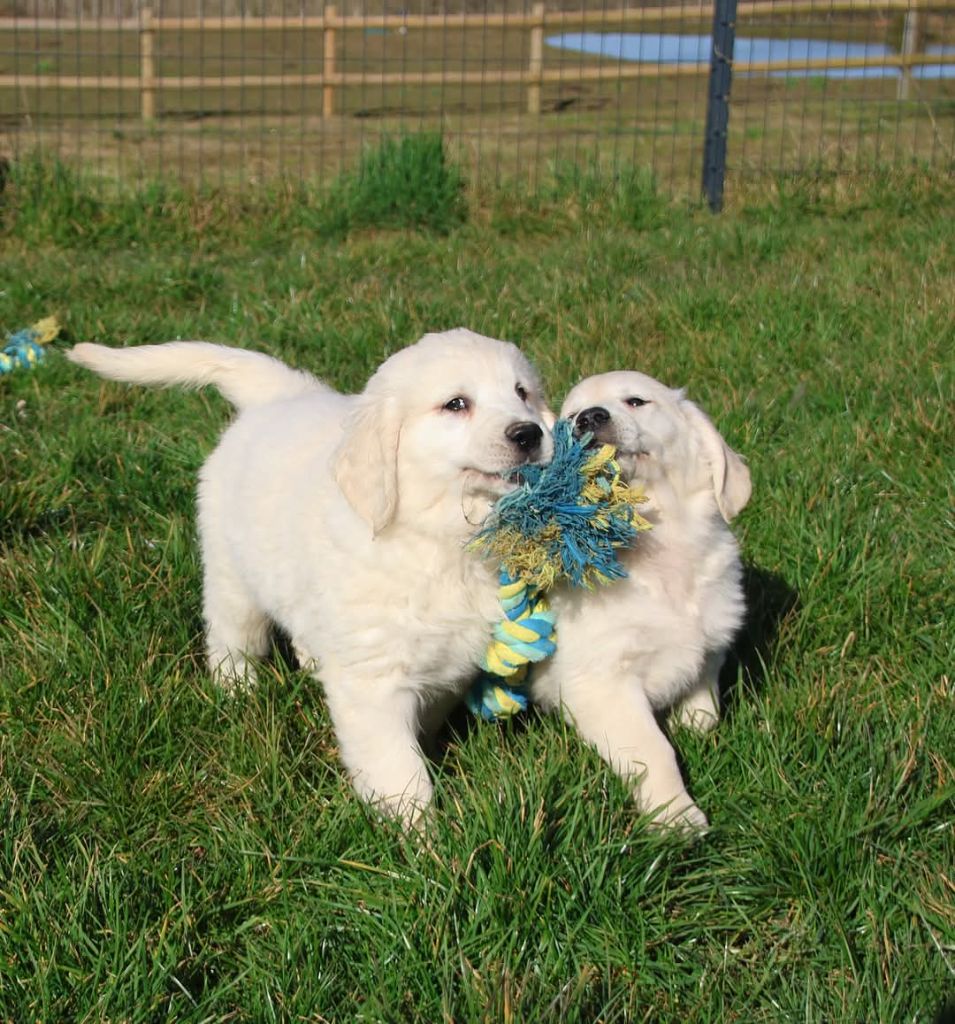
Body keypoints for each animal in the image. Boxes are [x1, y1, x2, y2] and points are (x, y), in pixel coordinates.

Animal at [70, 327, 556, 823]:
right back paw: (236, 691)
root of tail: (283, 395)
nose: (530, 433)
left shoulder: (446, 660)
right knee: (231, 637)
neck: (441, 539)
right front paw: (419, 836)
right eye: (456, 404)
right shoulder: (374, 680)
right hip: (232, 576)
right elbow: (398, 769)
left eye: (522, 393)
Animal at [528, 372, 753, 827]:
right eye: (569, 416)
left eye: (636, 401)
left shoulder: (711, 644)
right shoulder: (602, 683)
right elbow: (655, 751)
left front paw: (692, 724)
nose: (588, 418)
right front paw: (677, 817)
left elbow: (705, 708)